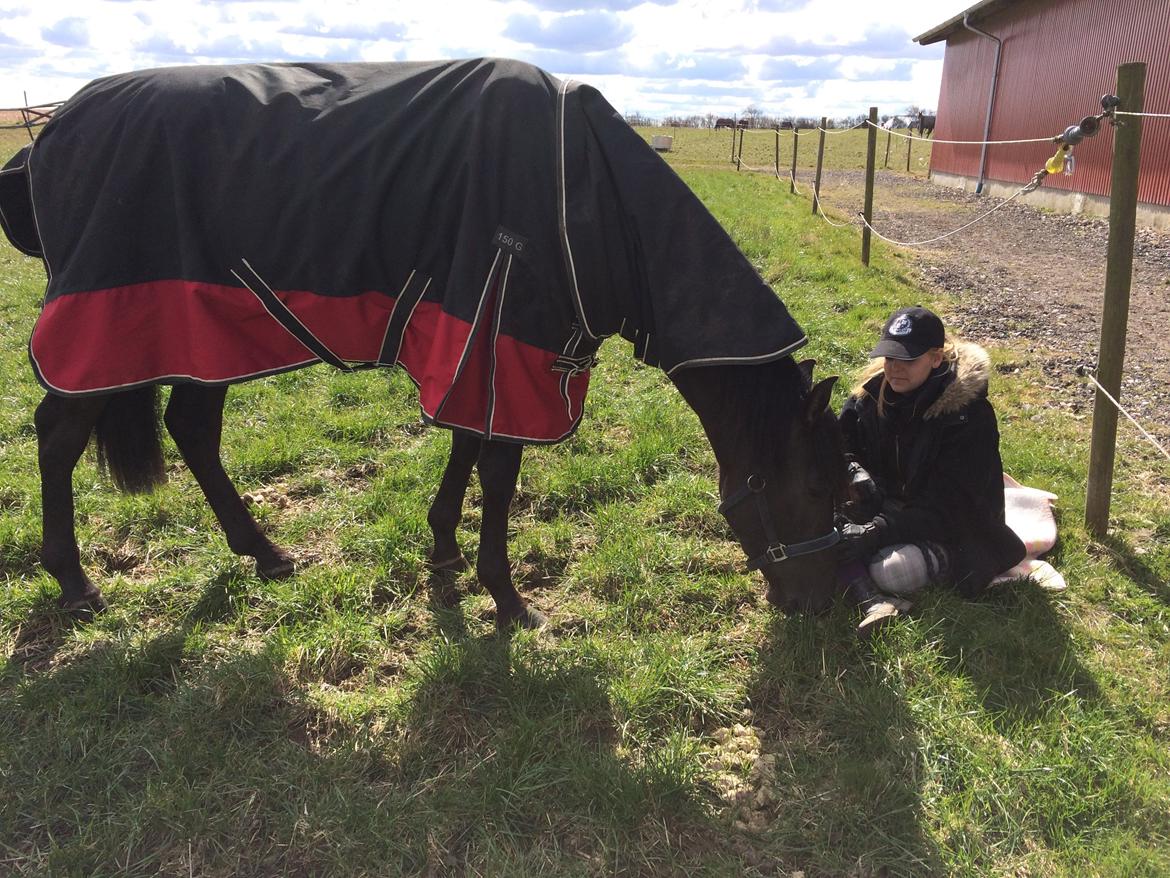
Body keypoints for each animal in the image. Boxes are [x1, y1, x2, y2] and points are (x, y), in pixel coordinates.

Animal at [0, 58, 847, 627]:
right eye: (815, 488)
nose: (820, 608)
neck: (588, 192)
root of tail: (50, 133)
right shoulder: (510, 341)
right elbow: (498, 474)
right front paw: (507, 597)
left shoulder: (484, 344)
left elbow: (466, 449)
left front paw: (443, 553)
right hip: (109, 331)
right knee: (59, 434)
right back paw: (74, 582)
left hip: (205, 333)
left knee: (191, 431)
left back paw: (265, 554)